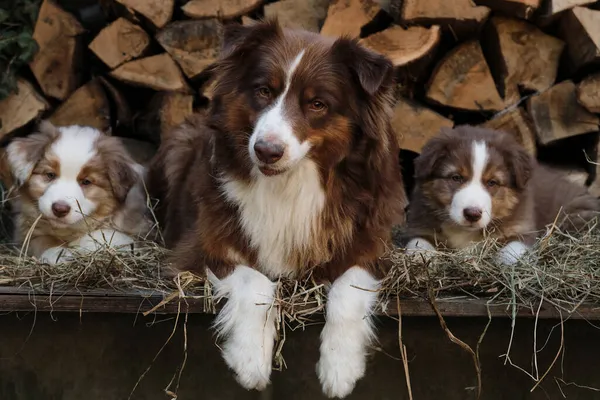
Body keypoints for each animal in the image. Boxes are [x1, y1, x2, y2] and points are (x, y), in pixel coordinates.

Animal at [4, 122, 151, 266]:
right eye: (50, 175)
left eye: (86, 182)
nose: (60, 209)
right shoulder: (25, 232)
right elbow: (41, 240)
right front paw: (57, 254)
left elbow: (104, 236)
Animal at [147, 18, 406, 396]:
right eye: (264, 91)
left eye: (317, 104)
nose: (266, 151)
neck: (290, 184)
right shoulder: (201, 246)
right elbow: (255, 282)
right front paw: (250, 361)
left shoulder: (372, 246)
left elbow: (349, 289)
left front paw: (340, 369)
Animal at [404, 125, 600, 262]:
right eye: (456, 178)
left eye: (492, 182)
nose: (472, 214)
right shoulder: (420, 225)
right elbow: (417, 245)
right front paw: (419, 260)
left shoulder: (523, 230)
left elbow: (510, 253)